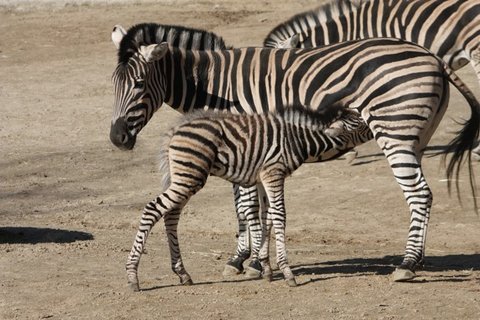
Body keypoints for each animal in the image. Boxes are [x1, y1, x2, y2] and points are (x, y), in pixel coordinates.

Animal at [124, 105, 372, 290]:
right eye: (361, 123)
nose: (378, 125)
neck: (297, 139)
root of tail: (175, 128)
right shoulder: (274, 172)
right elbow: (280, 215)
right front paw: (287, 272)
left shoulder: (262, 177)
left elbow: (266, 217)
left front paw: (265, 268)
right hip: (190, 175)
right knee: (152, 209)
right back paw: (132, 276)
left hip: (185, 176)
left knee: (171, 216)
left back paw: (182, 273)